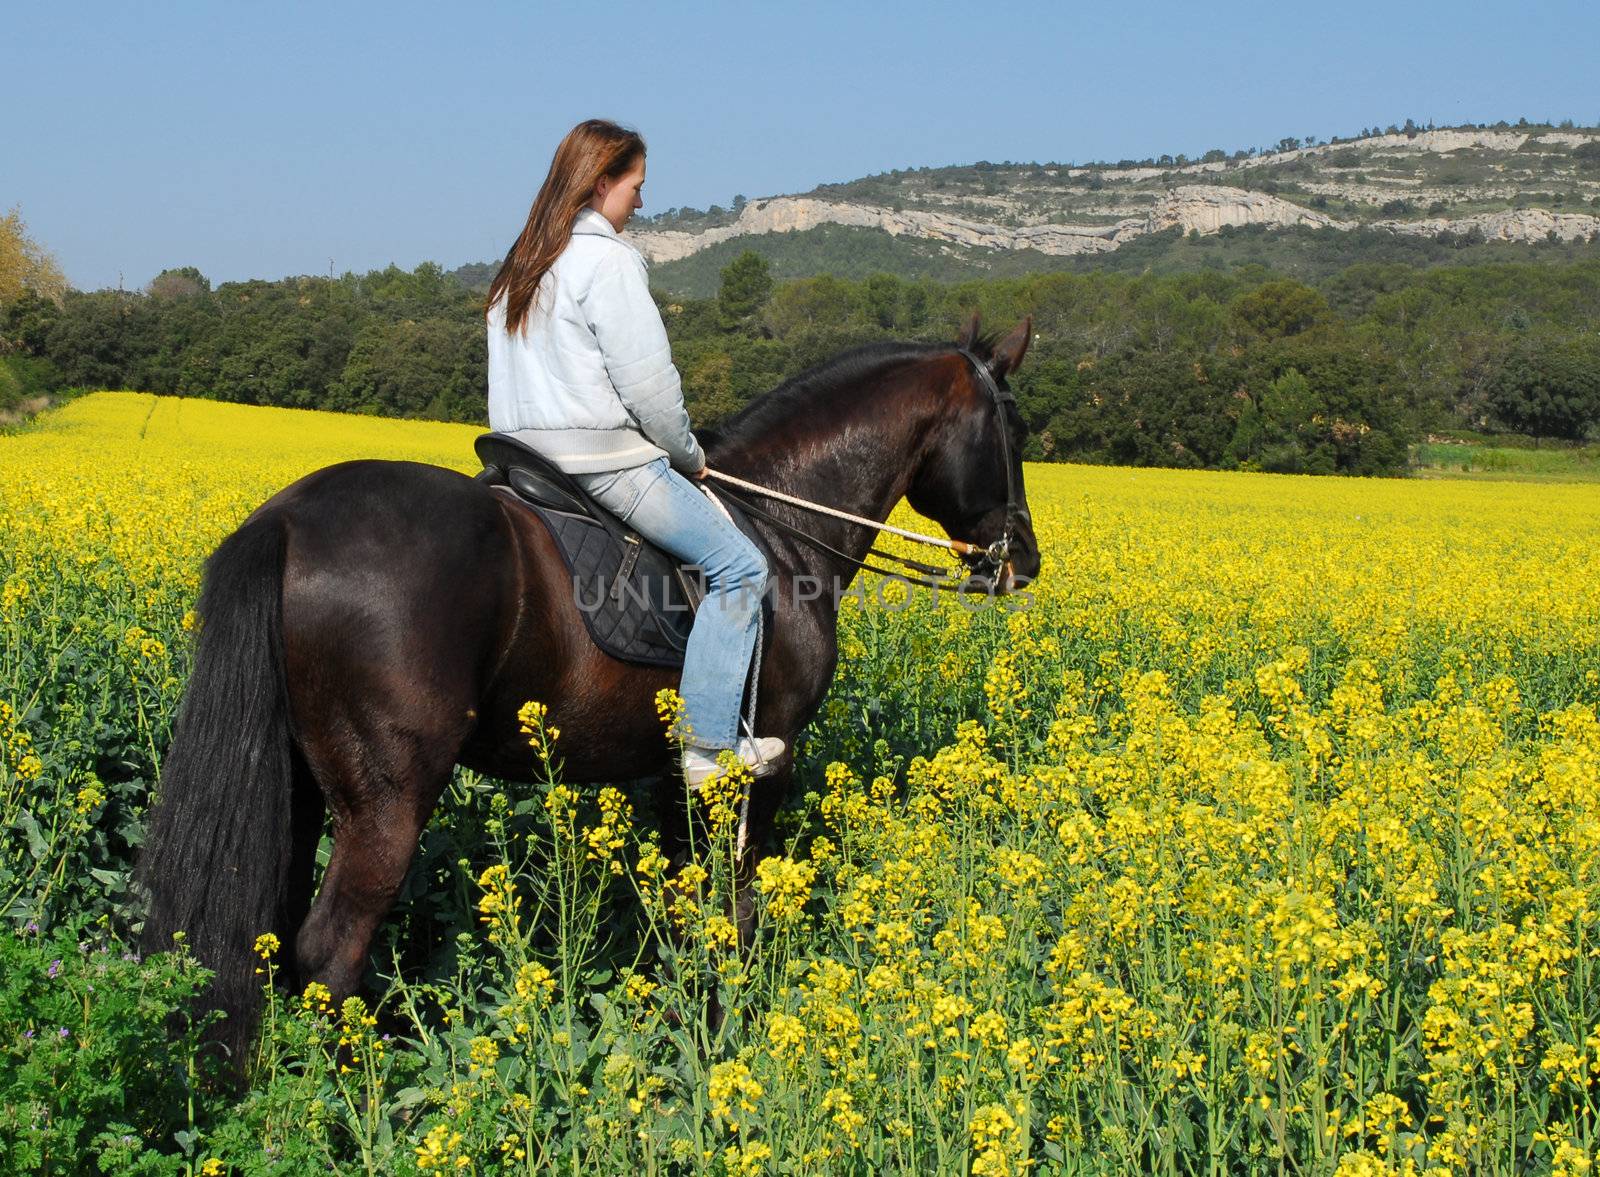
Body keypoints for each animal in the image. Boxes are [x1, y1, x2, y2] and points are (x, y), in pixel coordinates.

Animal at [134, 315, 1036, 1055]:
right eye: (1015, 427)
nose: (1021, 561)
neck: (783, 530)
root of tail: (286, 520)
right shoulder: (763, 762)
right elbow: (735, 911)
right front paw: (727, 1036)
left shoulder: (678, 776)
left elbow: (685, 912)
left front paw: (685, 1031)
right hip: (389, 794)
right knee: (330, 949)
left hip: (295, 779)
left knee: (275, 933)